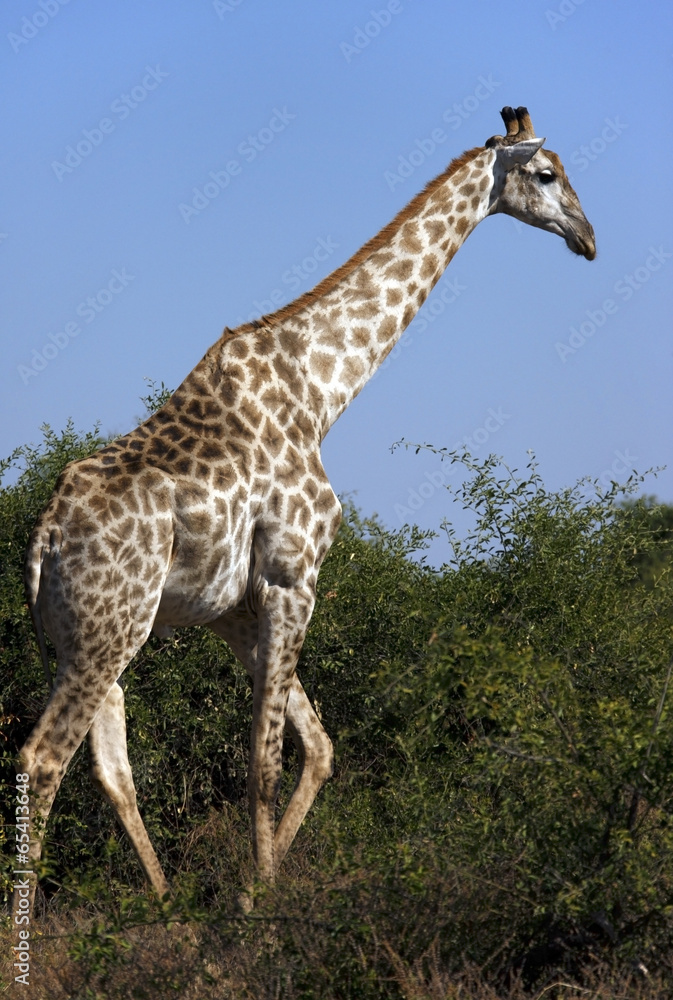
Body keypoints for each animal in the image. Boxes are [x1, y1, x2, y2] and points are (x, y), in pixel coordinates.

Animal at [15, 107, 595, 916]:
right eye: (546, 175)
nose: (588, 237)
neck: (323, 388)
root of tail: (42, 540)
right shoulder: (294, 576)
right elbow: (264, 761)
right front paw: (258, 906)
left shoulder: (238, 607)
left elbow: (315, 749)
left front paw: (261, 887)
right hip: (111, 628)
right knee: (41, 760)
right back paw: (27, 932)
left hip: (90, 637)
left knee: (108, 766)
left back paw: (167, 907)